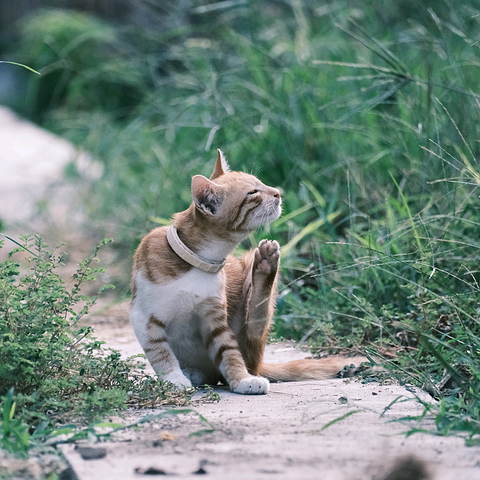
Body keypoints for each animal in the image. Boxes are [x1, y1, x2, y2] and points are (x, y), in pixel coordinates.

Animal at [130, 150, 364, 394]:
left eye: (261, 184)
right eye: (253, 193)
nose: (278, 192)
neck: (198, 261)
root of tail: (259, 363)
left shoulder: (215, 318)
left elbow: (229, 351)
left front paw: (242, 379)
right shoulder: (144, 318)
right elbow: (160, 352)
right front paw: (174, 379)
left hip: (249, 282)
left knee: (254, 327)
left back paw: (266, 266)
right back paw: (192, 373)